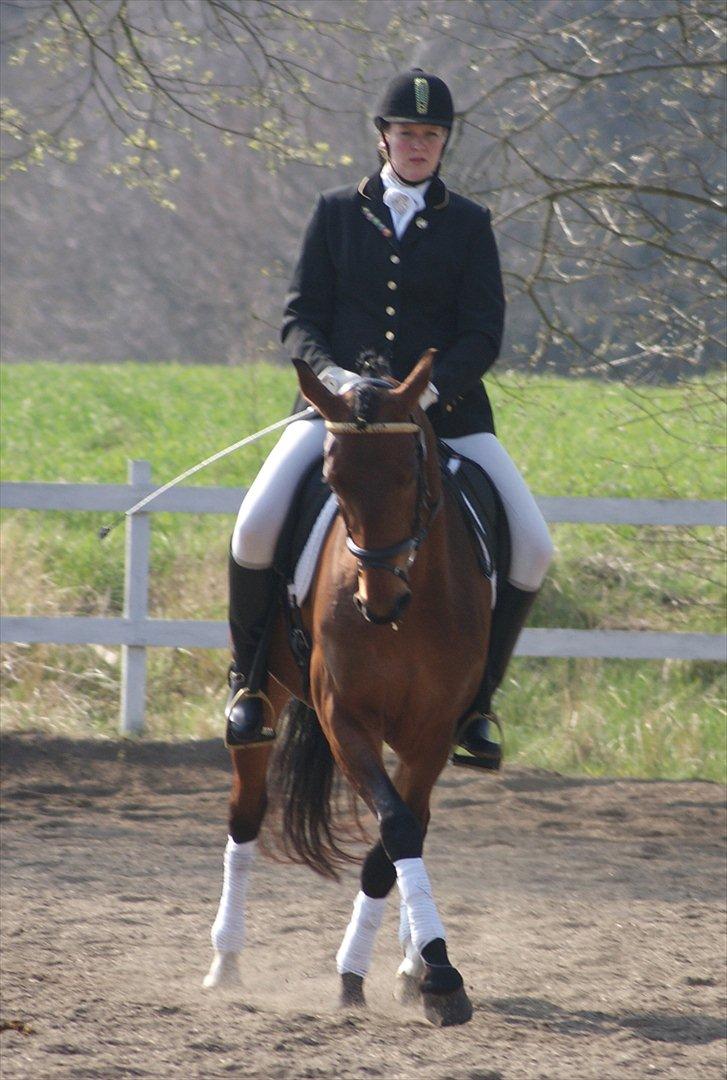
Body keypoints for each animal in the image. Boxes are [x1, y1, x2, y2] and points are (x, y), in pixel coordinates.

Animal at [200, 349, 490, 1023]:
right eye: (332, 481)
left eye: (410, 474)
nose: (376, 602)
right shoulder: (345, 719)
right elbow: (396, 827)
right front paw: (434, 974)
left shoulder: (432, 730)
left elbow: (398, 835)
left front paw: (418, 970)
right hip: (265, 696)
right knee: (246, 812)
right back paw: (226, 960)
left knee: (418, 817)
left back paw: (407, 966)